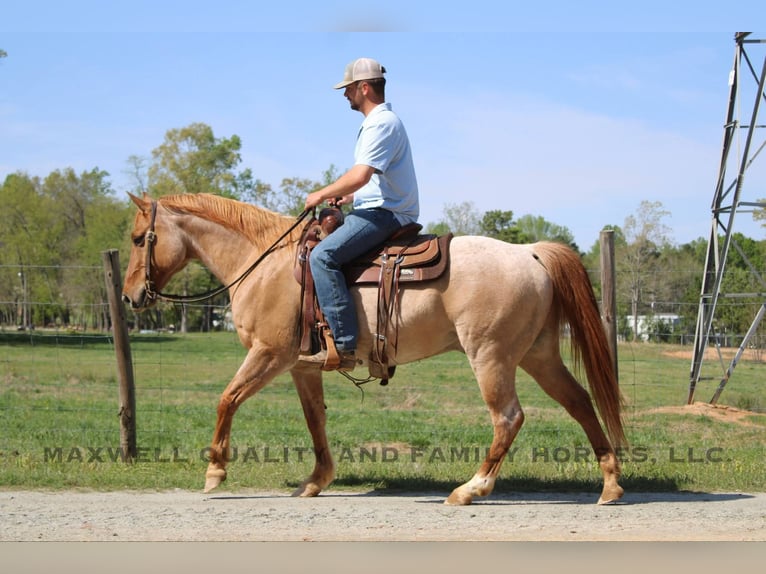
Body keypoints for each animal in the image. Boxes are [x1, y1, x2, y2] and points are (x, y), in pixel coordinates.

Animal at [121, 192, 626, 505]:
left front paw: (215, 473)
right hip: (538, 355)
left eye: (137, 239)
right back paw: (610, 485)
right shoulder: (302, 367)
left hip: (491, 356)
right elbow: (315, 419)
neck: (264, 263)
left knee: (508, 418)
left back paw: (471, 489)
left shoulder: (269, 354)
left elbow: (227, 399)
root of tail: (529, 252)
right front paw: (315, 481)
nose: (130, 297)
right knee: (580, 402)